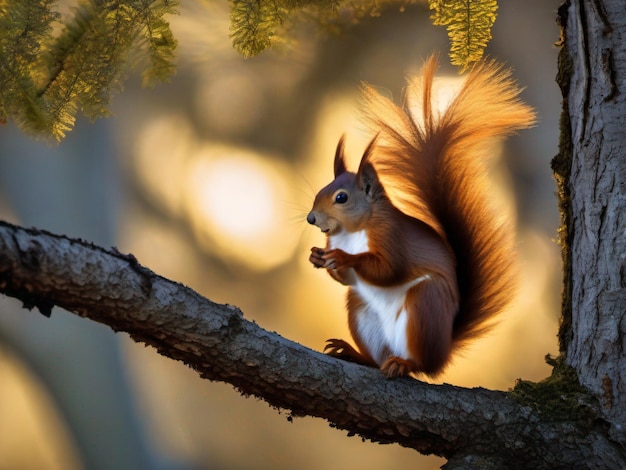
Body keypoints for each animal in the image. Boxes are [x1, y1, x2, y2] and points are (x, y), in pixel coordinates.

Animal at [304, 56, 532, 378]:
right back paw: (356, 354)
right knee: (378, 358)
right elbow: (346, 280)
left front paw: (344, 258)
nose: (311, 219)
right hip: (360, 309)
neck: (351, 231)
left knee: (421, 364)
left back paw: (405, 363)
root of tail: (444, 350)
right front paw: (317, 256)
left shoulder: (391, 235)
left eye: (341, 198)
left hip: (425, 304)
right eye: (321, 189)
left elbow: (389, 269)